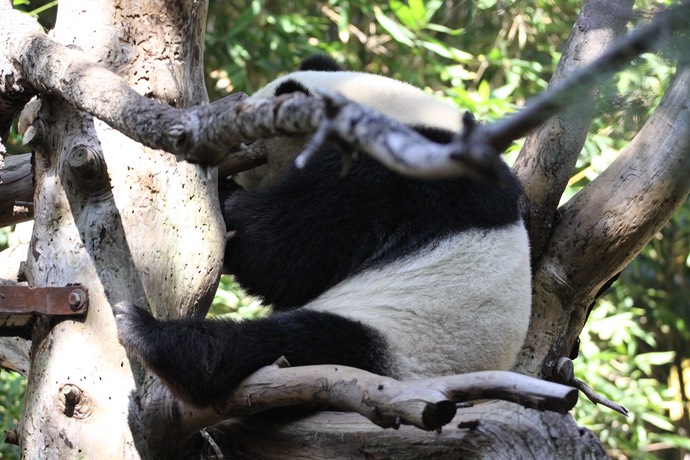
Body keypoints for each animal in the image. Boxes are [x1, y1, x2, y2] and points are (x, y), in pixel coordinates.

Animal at [114, 55, 532, 408]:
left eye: (243, 140)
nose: (226, 167)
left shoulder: (389, 177)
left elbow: (284, 254)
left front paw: (229, 201)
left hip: (402, 341)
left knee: (291, 341)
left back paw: (153, 338)